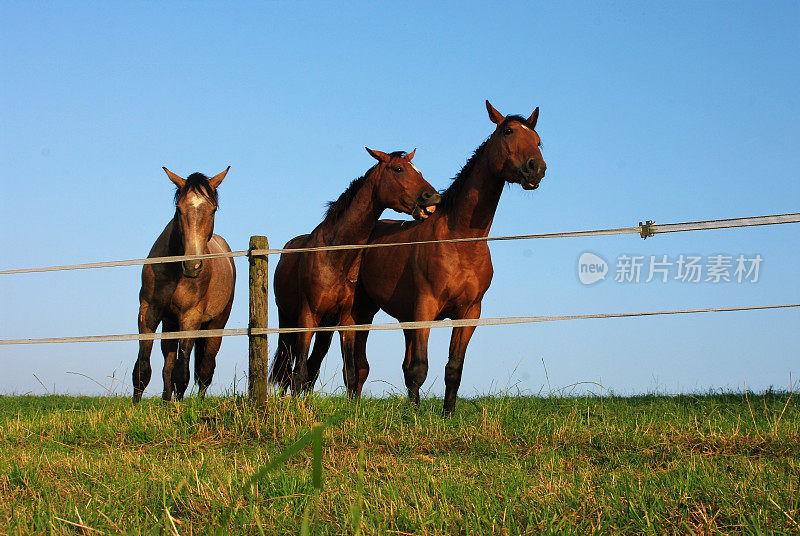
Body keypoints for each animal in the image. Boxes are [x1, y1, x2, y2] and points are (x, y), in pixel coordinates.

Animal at [131, 168, 236, 402]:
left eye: (212, 210)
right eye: (179, 209)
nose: (192, 265)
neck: (174, 270)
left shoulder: (191, 317)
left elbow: (182, 372)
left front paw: (179, 408)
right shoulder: (149, 312)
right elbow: (143, 367)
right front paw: (135, 405)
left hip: (215, 326)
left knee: (205, 368)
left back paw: (198, 401)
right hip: (170, 324)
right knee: (168, 366)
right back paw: (166, 401)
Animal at [272, 149, 440, 396]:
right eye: (398, 169)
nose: (432, 197)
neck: (334, 256)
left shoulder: (347, 320)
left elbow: (350, 373)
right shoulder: (307, 316)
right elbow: (298, 372)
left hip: (325, 327)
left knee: (312, 365)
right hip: (288, 320)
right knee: (288, 368)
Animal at [340, 101, 548, 414]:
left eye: (537, 139)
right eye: (508, 131)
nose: (536, 168)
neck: (460, 241)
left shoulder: (469, 314)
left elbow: (453, 368)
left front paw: (447, 414)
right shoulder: (425, 308)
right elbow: (419, 368)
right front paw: (414, 417)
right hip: (361, 309)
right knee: (355, 362)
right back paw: (354, 405)